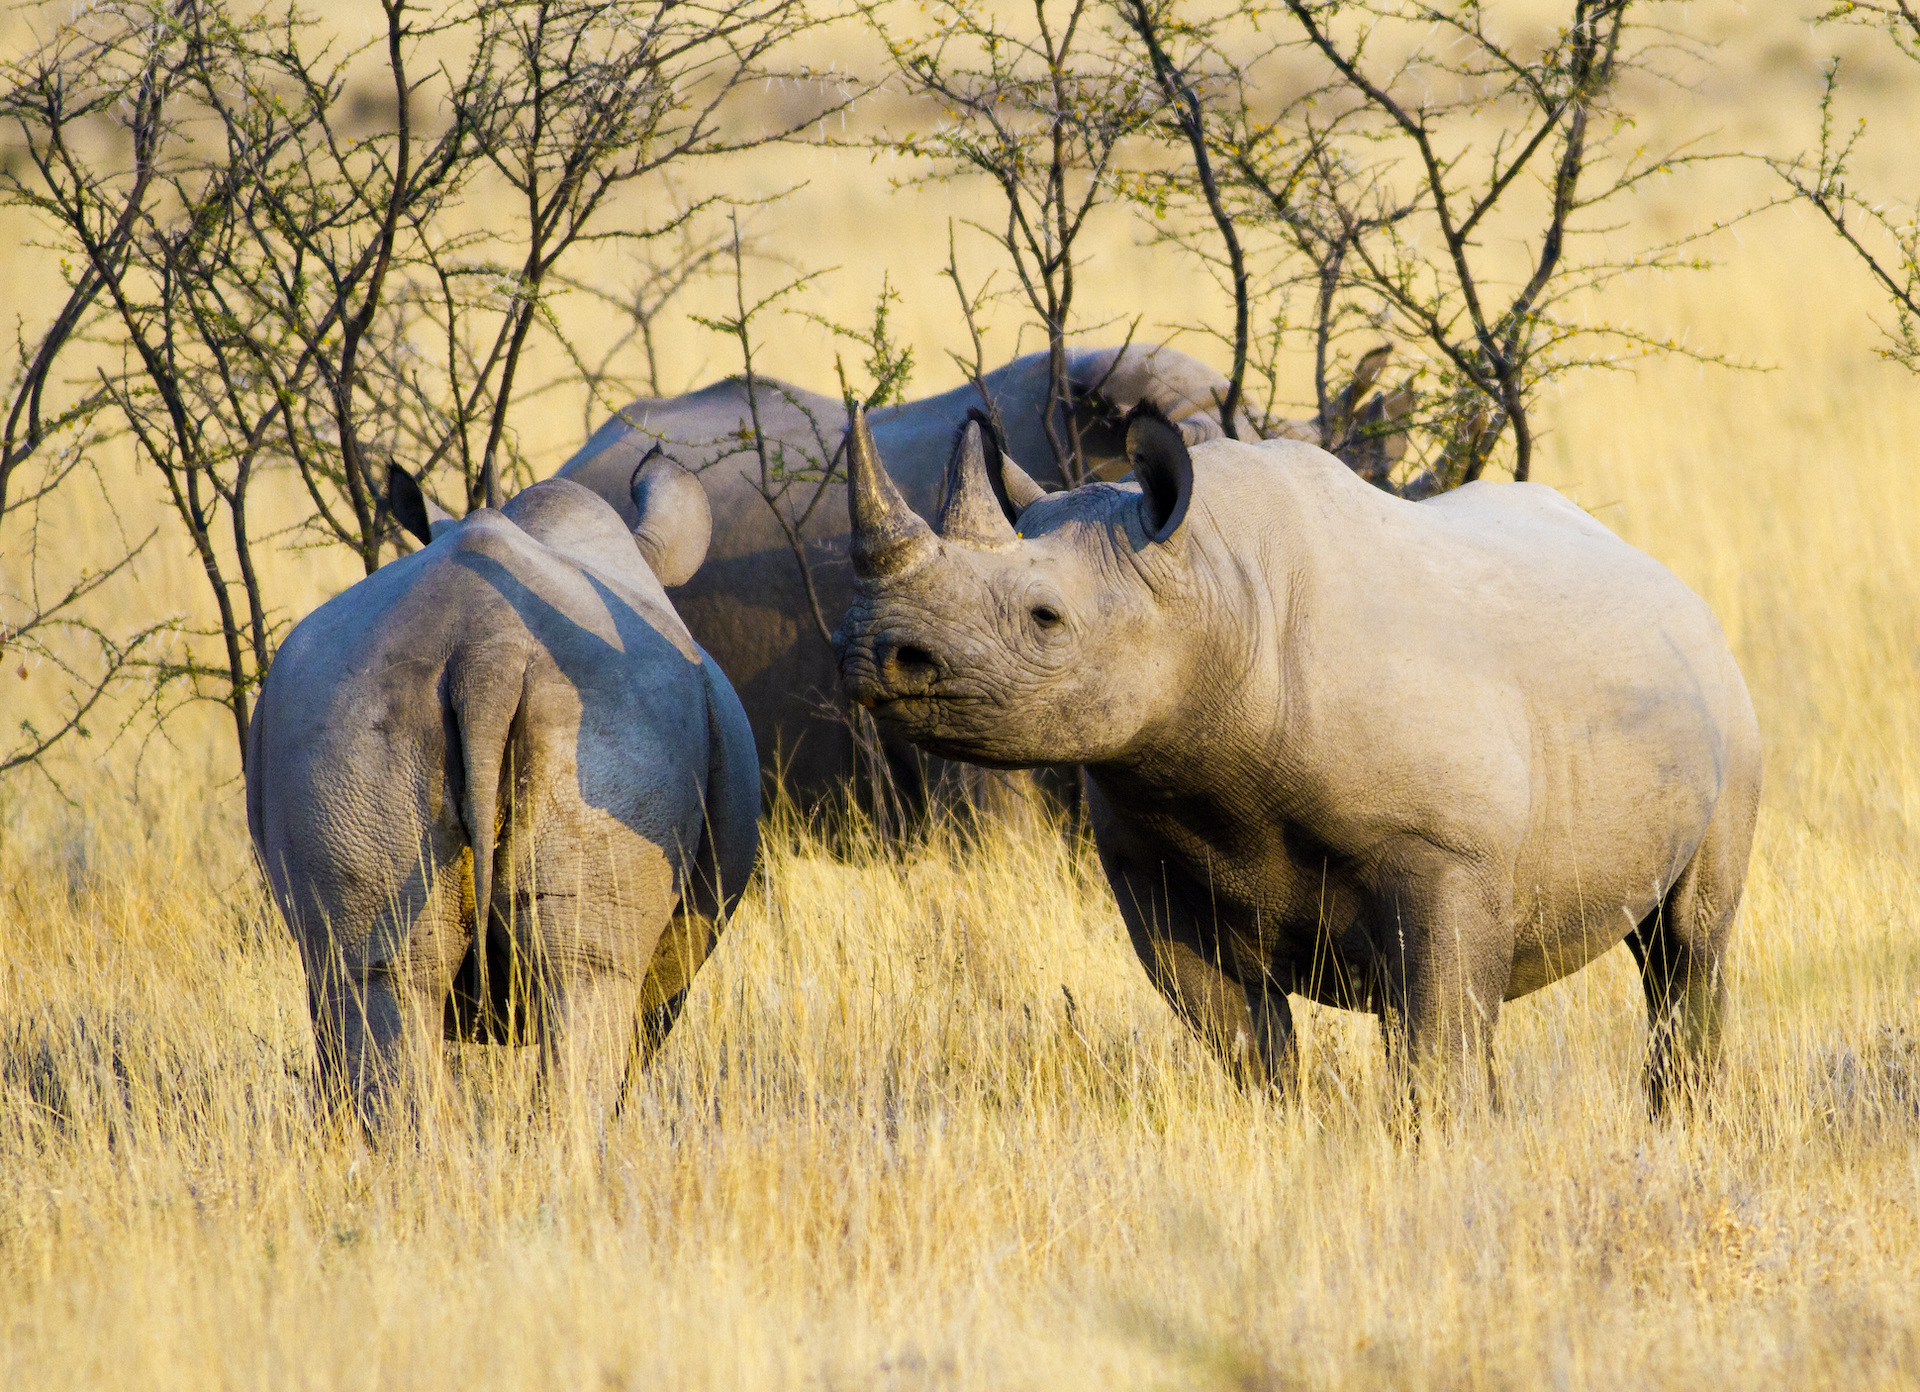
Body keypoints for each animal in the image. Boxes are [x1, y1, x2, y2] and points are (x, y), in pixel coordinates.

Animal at [832, 406, 1761, 1109]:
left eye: (1045, 618)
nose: (876, 651)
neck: (1207, 584)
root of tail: (1665, 576)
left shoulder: (1445, 853)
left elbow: (1432, 1045)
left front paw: (1440, 1157)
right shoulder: (1150, 856)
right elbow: (1245, 1042)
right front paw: (1290, 1133)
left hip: (1725, 701)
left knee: (1687, 951)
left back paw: (1678, 1122)